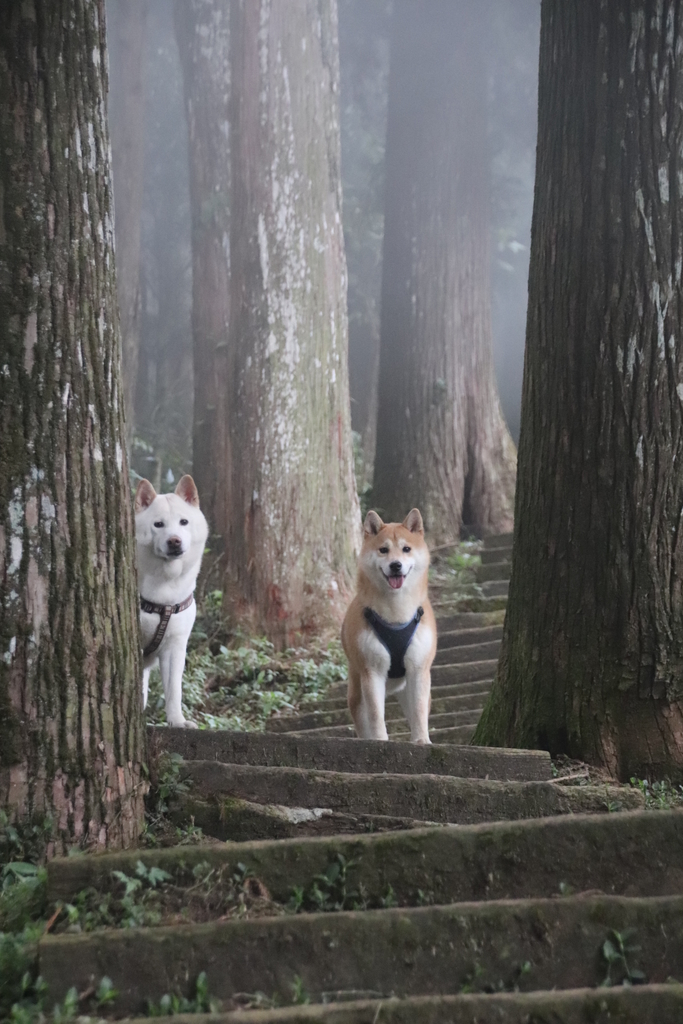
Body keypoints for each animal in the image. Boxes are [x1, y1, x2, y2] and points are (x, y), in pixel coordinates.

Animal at [133, 473, 208, 729]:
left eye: (184, 522)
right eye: (158, 524)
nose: (174, 541)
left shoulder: (175, 646)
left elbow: (174, 689)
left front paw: (177, 721)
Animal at [342, 509, 438, 745]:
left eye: (406, 549)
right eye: (383, 550)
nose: (396, 565)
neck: (396, 615)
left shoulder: (419, 669)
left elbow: (419, 711)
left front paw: (422, 740)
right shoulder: (372, 671)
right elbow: (376, 714)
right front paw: (379, 741)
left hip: (408, 688)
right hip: (357, 692)